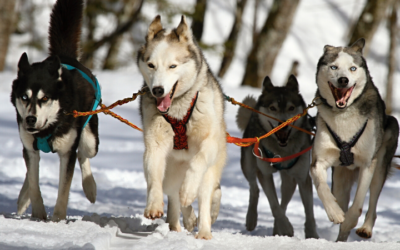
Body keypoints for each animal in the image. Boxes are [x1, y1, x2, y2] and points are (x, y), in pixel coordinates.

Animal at [10, 0, 99, 223]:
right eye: (24, 97)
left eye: (44, 98)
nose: (30, 119)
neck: (47, 129)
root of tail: (66, 57)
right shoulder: (30, 147)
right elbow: (34, 183)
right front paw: (38, 214)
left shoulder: (67, 152)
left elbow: (64, 191)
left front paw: (58, 219)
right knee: (30, 171)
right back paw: (23, 198)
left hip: (90, 139)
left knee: (83, 153)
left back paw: (90, 187)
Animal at [137, 16, 225, 240]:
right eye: (151, 65)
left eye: (172, 66)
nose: (157, 90)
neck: (177, 110)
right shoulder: (155, 145)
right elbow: (154, 178)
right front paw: (153, 205)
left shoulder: (209, 143)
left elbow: (197, 163)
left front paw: (188, 190)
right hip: (171, 173)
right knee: (174, 197)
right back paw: (180, 223)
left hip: (210, 171)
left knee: (205, 196)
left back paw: (203, 231)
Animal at [238, 75, 318, 238]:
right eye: (272, 108)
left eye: (291, 108)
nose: (283, 124)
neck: (282, 151)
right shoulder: (265, 174)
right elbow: (274, 205)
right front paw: (286, 227)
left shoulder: (303, 177)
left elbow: (309, 212)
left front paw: (312, 235)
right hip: (248, 165)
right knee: (254, 189)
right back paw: (251, 219)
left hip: (290, 180)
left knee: (284, 201)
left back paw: (277, 229)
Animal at [310, 38, 398, 241]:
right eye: (334, 67)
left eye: (352, 68)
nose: (343, 80)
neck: (343, 115)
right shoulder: (319, 161)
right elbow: (322, 187)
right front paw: (334, 212)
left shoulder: (367, 163)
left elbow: (357, 205)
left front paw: (350, 220)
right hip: (340, 179)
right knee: (340, 197)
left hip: (381, 163)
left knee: (372, 202)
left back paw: (365, 228)